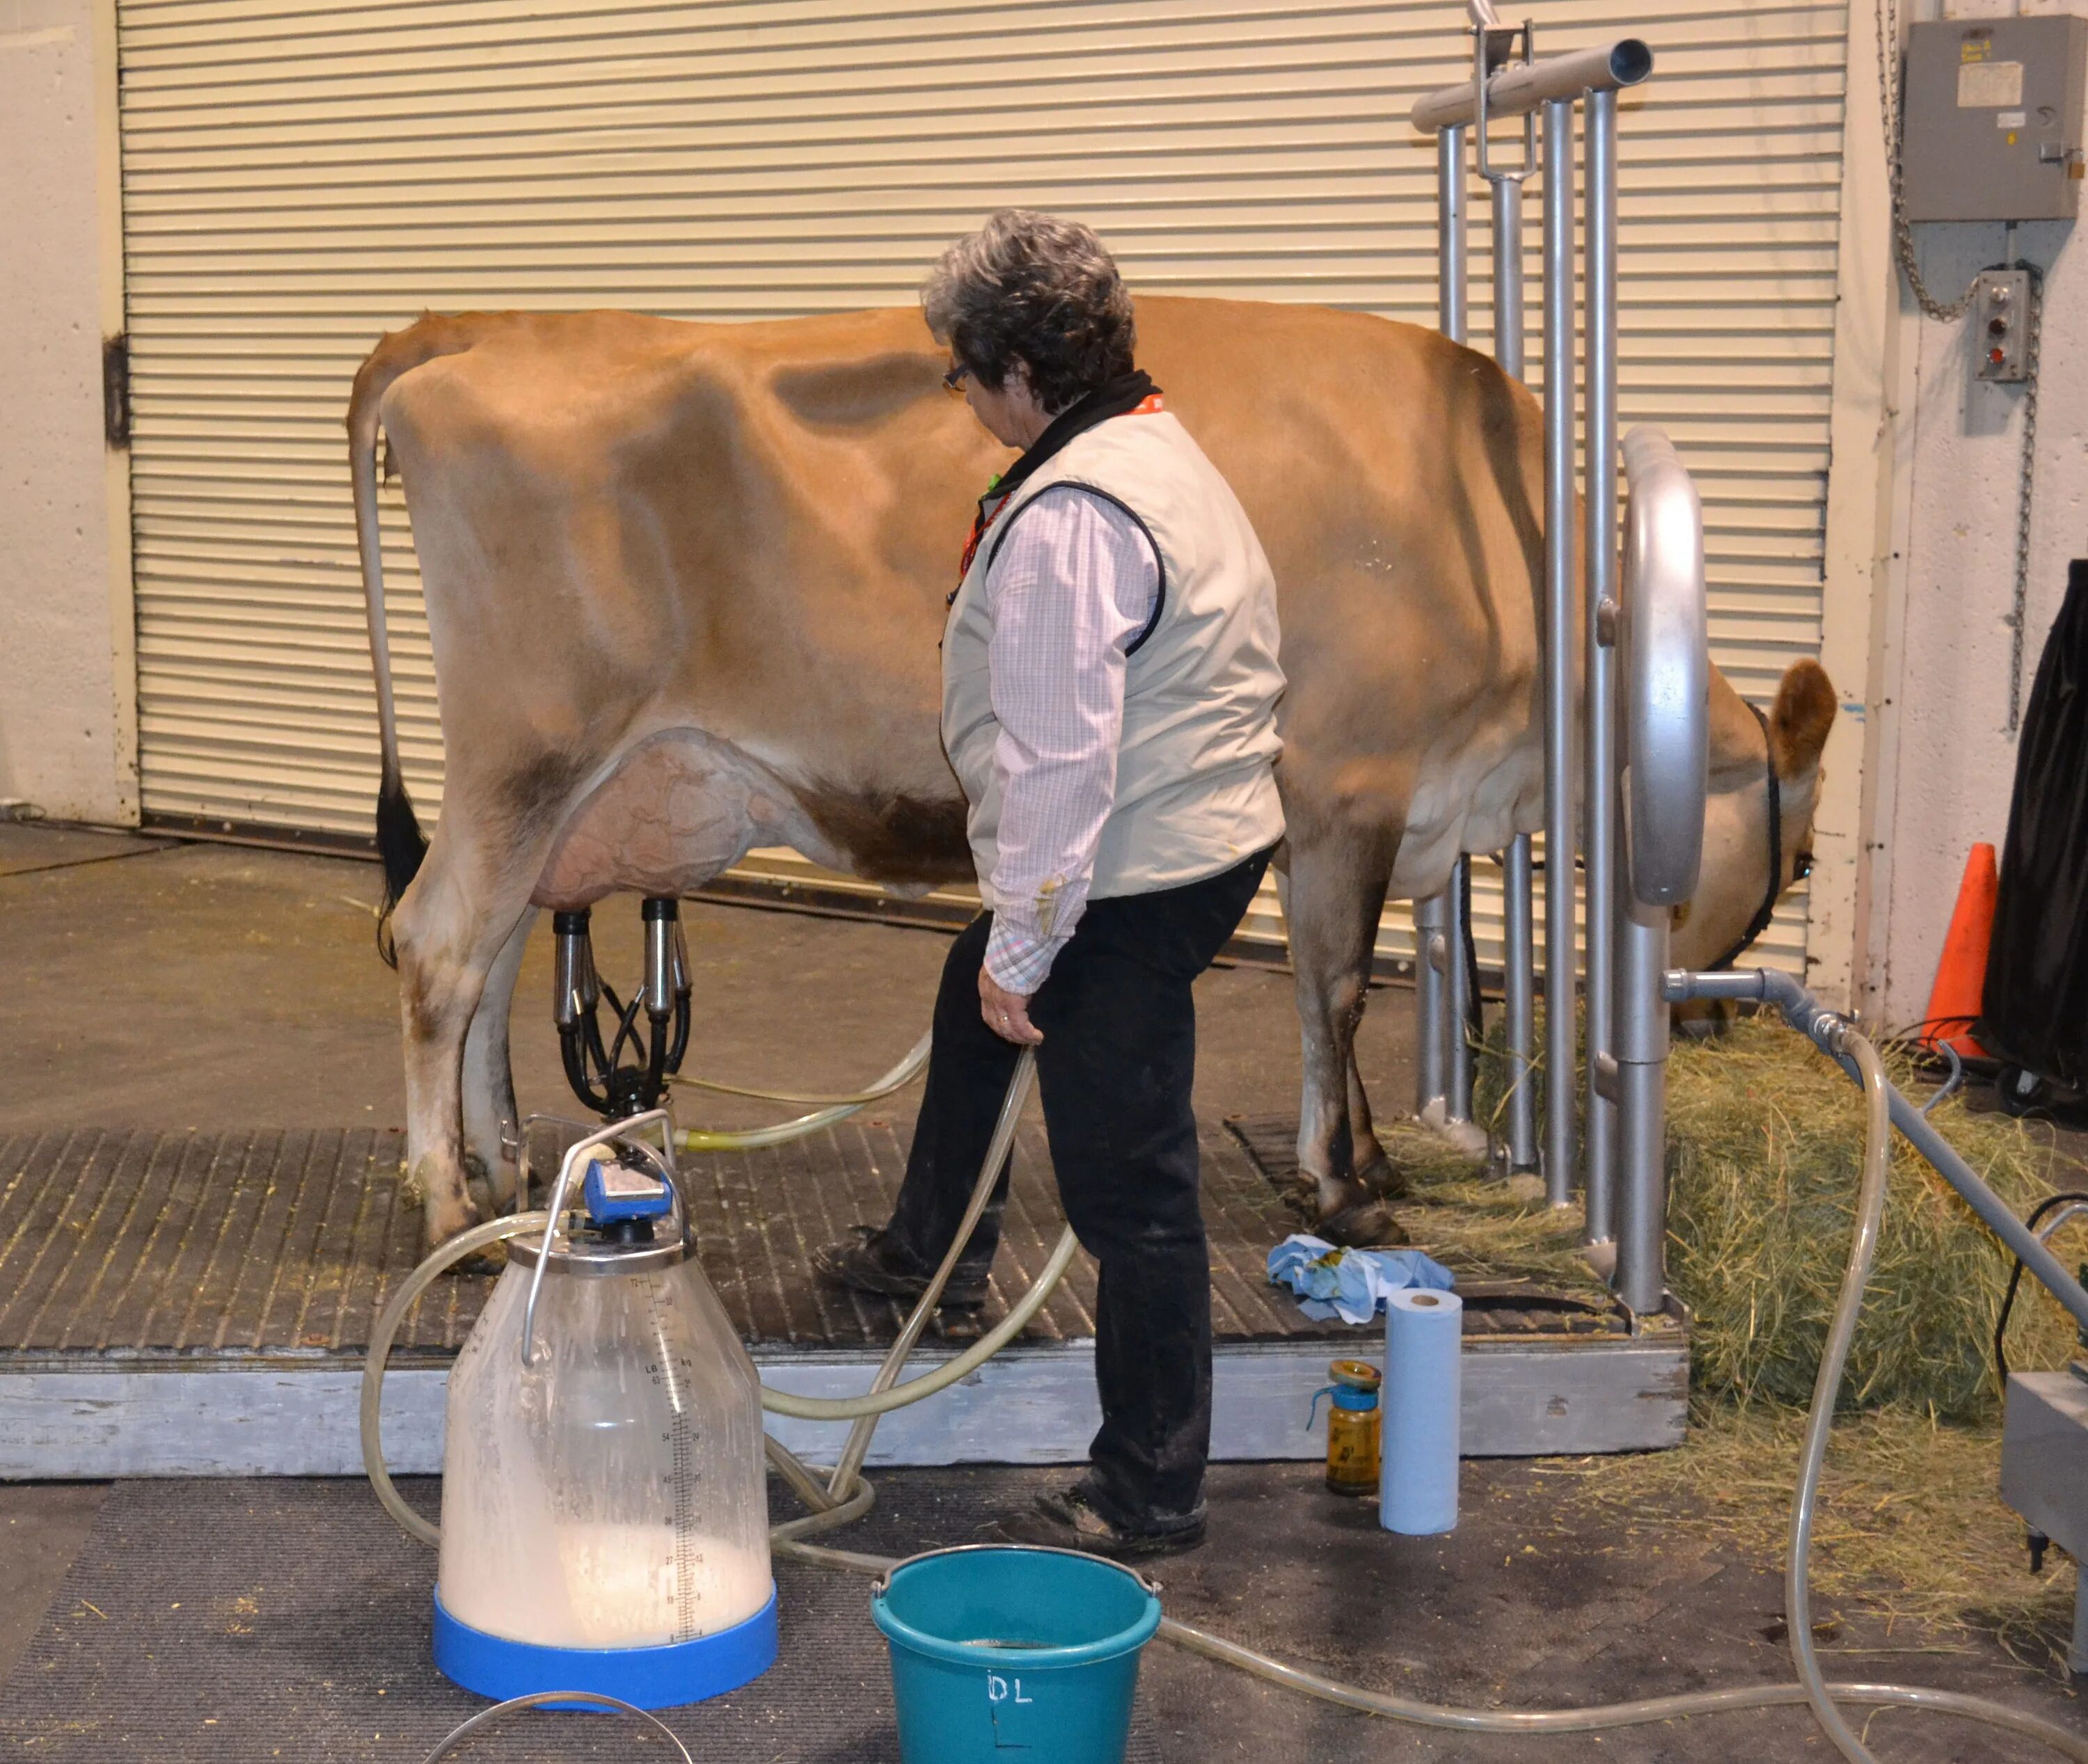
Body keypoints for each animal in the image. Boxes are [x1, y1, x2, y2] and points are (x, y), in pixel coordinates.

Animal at [351, 296, 1837, 1244]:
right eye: (1803, 857)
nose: (1711, 1018)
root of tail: (475, 331)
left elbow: (1356, 991)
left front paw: (1367, 1161)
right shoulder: (1349, 788)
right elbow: (1338, 993)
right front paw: (1345, 1188)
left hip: (552, 781)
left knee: (490, 952)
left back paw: (497, 1167)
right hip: (532, 746)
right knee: (437, 945)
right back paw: (441, 1194)